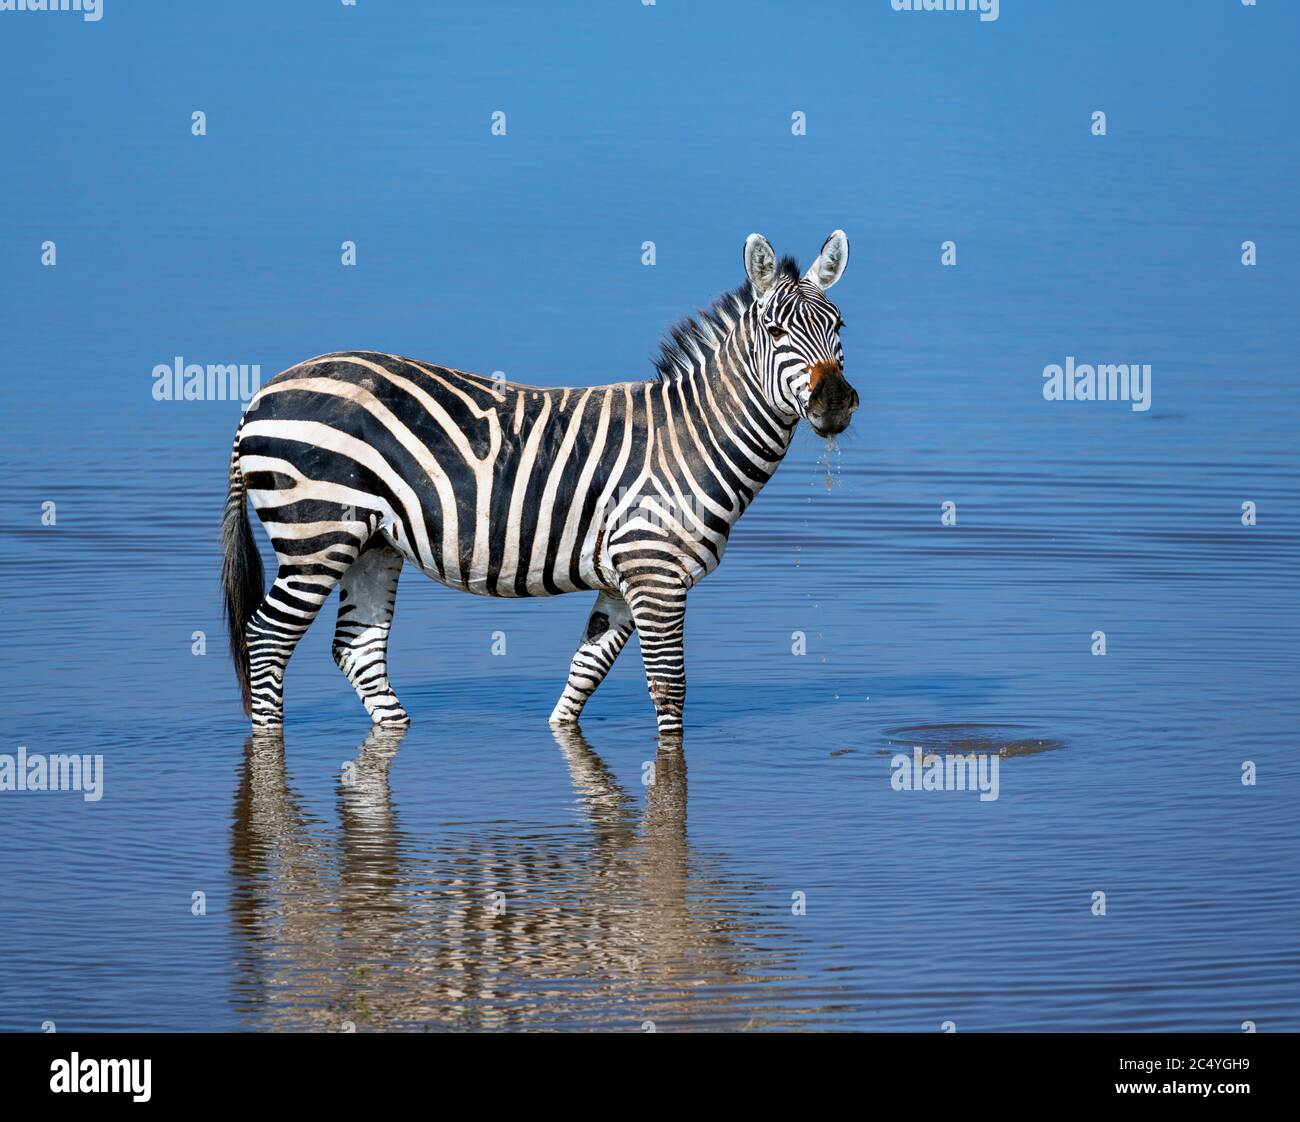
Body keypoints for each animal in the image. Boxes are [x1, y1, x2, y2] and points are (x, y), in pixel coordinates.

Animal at [220, 230, 852, 738]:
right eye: (774, 329)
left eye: (839, 326)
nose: (836, 402)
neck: (693, 438)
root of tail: (260, 395)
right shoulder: (655, 573)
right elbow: (669, 690)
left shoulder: (623, 579)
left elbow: (585, 671)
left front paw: (561, 734)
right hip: (317, 535)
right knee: (267, 640)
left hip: (372, 543)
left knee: (357, 649)